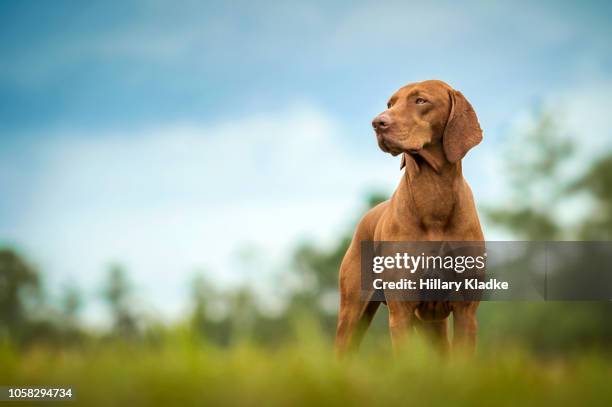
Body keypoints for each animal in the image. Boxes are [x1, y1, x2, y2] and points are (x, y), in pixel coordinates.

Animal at [334, 79, 482, 356]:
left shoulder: (466, 310)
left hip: (433, 324)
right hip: (353, 312)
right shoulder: (401, 308)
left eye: (420, 100)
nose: (377, 122)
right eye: (390, 103)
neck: (433, 194)